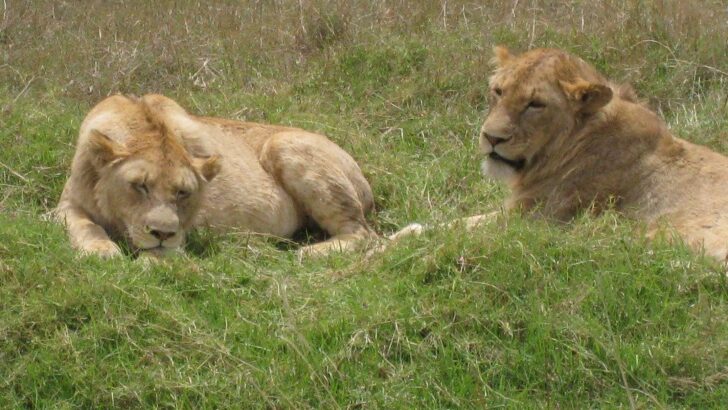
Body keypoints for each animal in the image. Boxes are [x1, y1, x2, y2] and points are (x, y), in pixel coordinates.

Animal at [56, 94, 412, 258]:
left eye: (183, 193)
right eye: (139, 186)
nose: (162, 233)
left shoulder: (186, 230)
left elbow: (164, 251)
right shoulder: (65, 206)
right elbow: (84, 225)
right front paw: (102, 251)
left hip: (284, 143)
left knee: (364, 234)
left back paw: (305, 252)